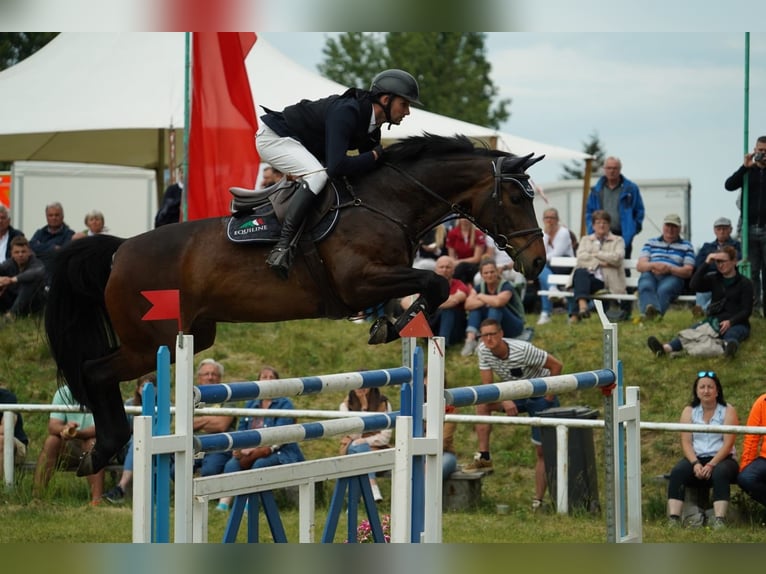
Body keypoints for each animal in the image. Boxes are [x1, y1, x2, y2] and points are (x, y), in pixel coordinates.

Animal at [43, 135, 544, 476]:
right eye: (516, 197)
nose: (537, 262)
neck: (384, 203)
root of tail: (119, 250)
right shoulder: (359, 281)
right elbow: (433, 282)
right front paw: (394, 322)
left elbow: (432, 286)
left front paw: (390, 322)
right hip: (152, 342)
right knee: (94, 371)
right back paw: (103, 449)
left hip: (192, 333)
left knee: (99, 371)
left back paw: (101, 451)